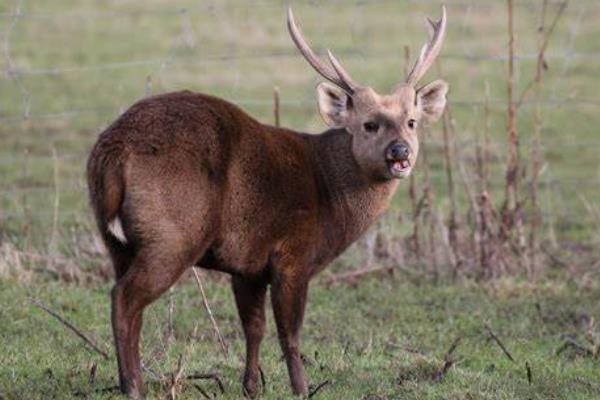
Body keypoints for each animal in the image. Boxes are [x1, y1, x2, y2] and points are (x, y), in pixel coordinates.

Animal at [86, 6, 448, 400]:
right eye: (369, 124)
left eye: (411, 121)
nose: (400, 152)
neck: (328, 191)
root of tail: (114, 151)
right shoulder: (292, 254)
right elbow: (290, 333)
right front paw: (302, 388)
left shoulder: (248, 264)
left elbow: (254, 327)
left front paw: (251, 386)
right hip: (172, 233)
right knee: (123, 299)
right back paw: (133, 387)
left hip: (115, 240)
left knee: (127, 302)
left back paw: (128, 380)